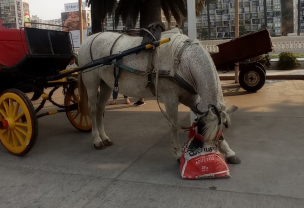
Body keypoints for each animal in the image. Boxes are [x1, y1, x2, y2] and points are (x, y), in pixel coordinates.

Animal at [79, 28, 241, 164]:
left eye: (223, 128)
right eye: (203, 130)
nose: (209, 150)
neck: (182, 61)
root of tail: (90, 38)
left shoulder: (191, 99)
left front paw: (229, 151)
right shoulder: (170, 98)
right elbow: (173, 125)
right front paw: (177, 153)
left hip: (106, 85)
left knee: (100, 109)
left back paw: (104, 137)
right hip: (92, 84)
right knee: (93, 110)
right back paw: (97, 139)